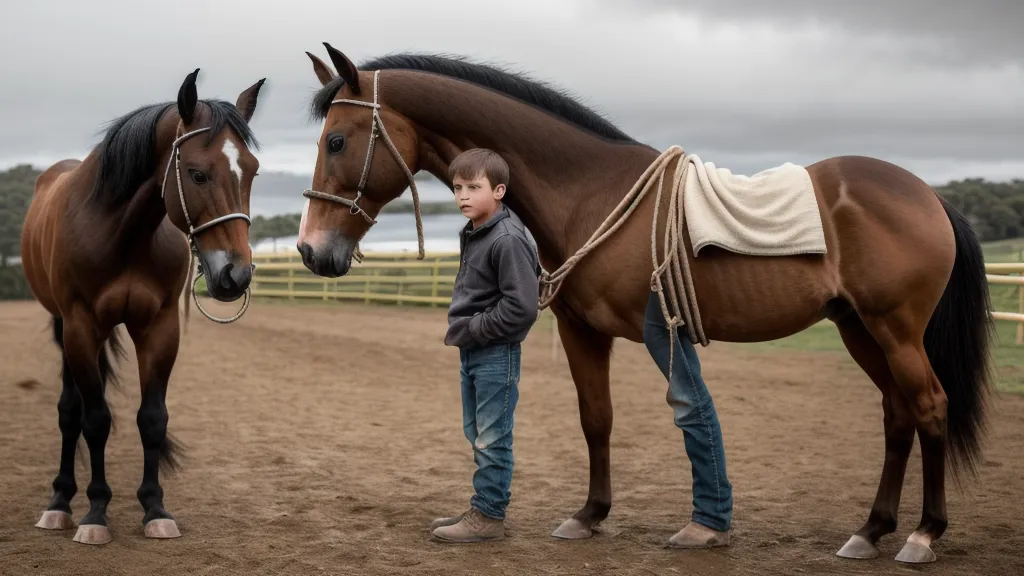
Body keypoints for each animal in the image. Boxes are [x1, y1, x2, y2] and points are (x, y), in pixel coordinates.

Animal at [19, 68, 265, 545]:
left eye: (252, 170)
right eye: (196, 174)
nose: (236, 274)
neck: (121, 233)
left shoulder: (160, 328)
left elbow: (152, 418)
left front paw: (155, 509)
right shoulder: (81, 327)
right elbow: (95, 420)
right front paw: (96, 513)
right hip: (63, 326)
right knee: (69, 412)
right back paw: (59, 503)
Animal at [294, 44, 992, 564]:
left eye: (337, 142)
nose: (309, 249)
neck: (587, 192)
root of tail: (929, 195)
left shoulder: (659, 334)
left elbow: (684, 416)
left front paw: (699, 525)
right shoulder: (581, 330)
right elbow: (595, 418)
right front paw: (589, 515)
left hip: (895, 329)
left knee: (929, 407)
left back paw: (922, 535)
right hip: (858, 329)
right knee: (897, 415)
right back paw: (870, 531)